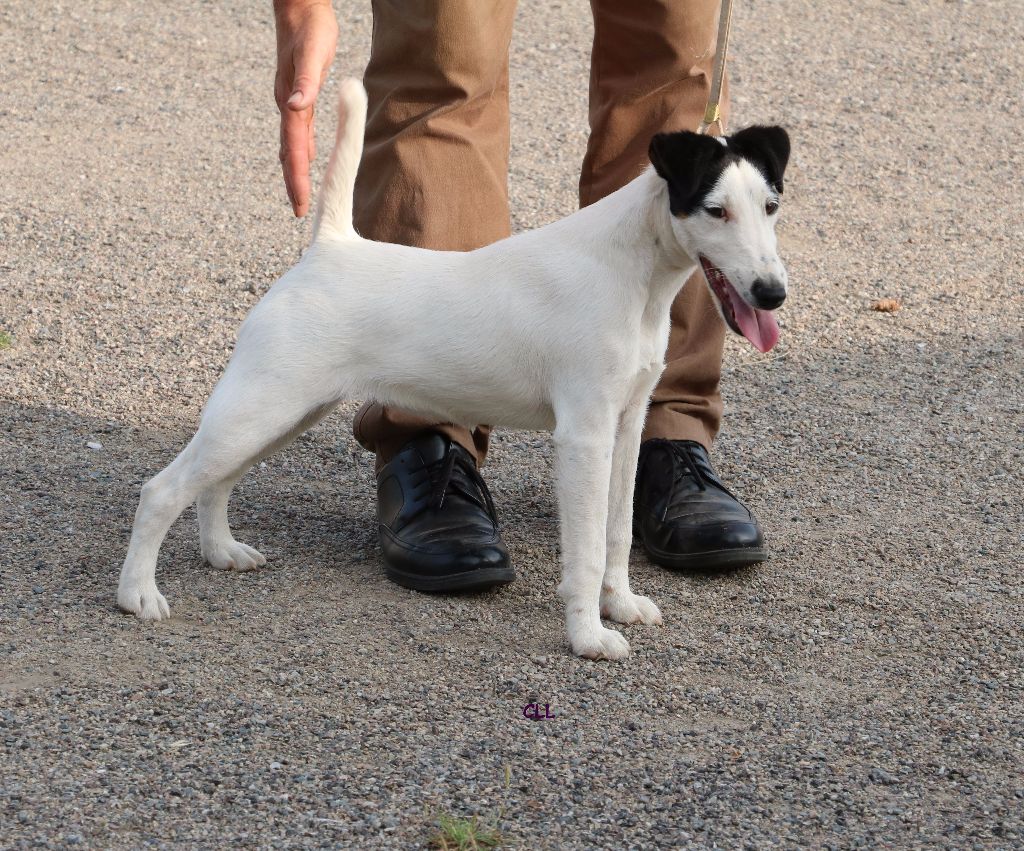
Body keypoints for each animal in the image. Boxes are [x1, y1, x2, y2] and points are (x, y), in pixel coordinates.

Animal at [119, 79, 790, 663]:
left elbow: (617, 532)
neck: (630, 270)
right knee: (163, 490)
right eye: (714, 210)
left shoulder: (626, 427)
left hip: (282, 414)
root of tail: (329, 249)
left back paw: (221, 552)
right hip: (260, 408)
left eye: (771, 206)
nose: (772, 293)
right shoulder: (584, 436)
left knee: (214, 483)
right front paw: (588, 637)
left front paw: (620, 605)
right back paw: (138, 596)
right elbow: (585, 549)